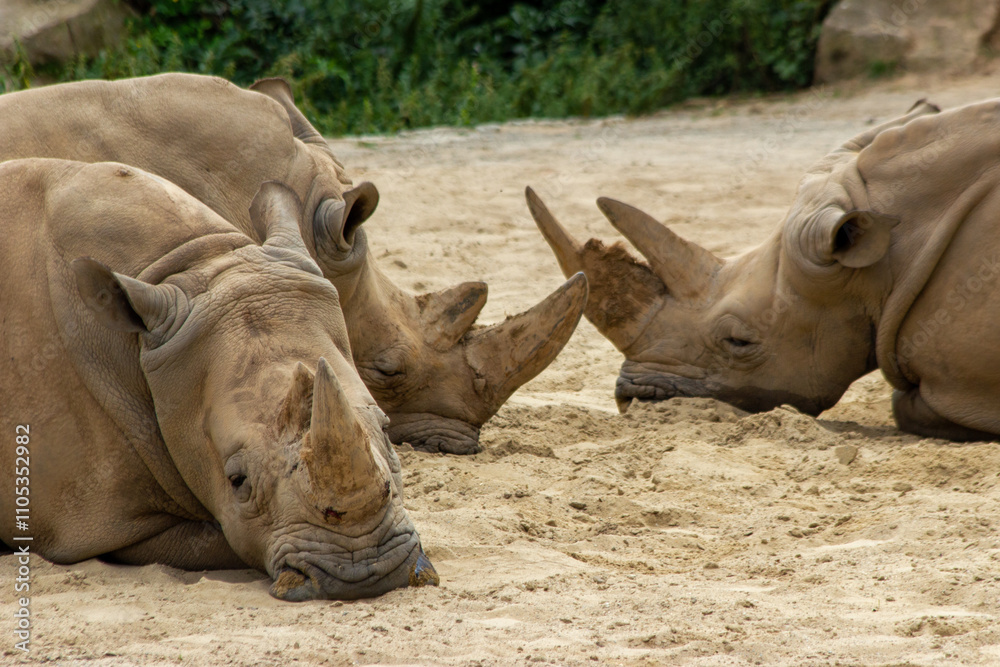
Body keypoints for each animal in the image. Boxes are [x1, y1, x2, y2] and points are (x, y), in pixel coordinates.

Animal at [0, 157, 438, 600]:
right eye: (236, 480)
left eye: (386, 429)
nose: (368, 573)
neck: (188, 265)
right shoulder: (99, 524)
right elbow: (227, 538)